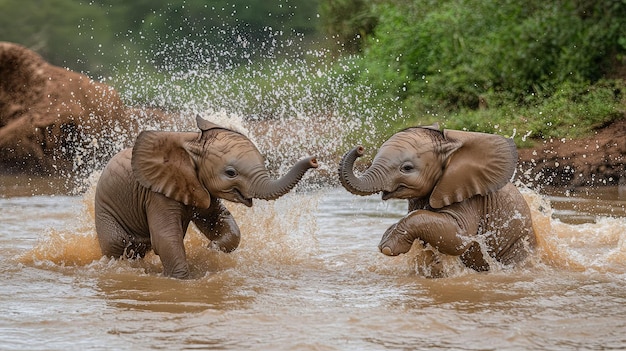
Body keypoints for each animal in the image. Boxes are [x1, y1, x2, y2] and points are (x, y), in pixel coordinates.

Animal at [95, 117, 316, 280]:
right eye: (230, 173)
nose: (314, 160)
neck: (192, 142)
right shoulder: (156, 193)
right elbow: (166, 237)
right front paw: (183, 280)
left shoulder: (198, 186)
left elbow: (218, 220)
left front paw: (211, 250)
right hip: (107, 216)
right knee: (121, 244)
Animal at [338, 125, 532, 274]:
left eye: (407, 168)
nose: (360, 149)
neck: (450, 145)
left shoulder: (469, 195)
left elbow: (459, 238)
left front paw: (387, 247)